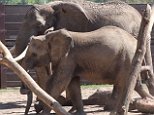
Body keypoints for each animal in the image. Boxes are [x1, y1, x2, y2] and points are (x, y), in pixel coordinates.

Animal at [22, 25, 152, 114]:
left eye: (34, 54)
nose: (34, 108)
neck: (49, 36)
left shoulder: (68, 57)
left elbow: (59, 83)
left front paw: (44, 112)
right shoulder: (70, 60)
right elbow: (73, 84)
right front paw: (78, 113)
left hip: (127, 58)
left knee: (122, 83)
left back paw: (115, 110)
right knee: (132, 83)